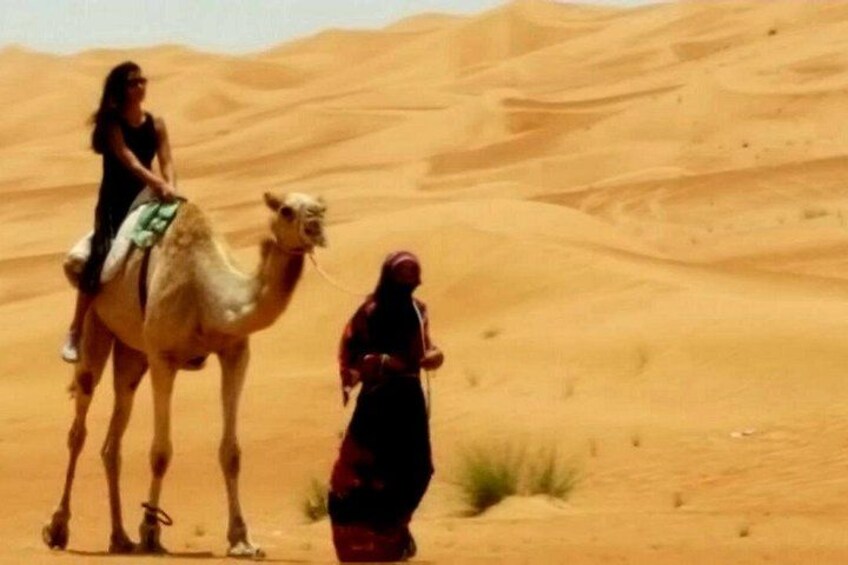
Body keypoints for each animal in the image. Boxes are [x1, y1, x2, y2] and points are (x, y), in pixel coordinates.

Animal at [43, 191, 327, 557]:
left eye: (322, 207)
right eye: (287, 210)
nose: (316, 226)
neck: (206, 293)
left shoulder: (236, 352)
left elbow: (231, 453)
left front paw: (242, 539)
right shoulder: (163, 357)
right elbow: (160, 453)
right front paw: (151, 533)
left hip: (132, 351)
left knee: (113, 438)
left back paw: (120, 537)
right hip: (97, 323)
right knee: (79, 427)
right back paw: (58, 528)